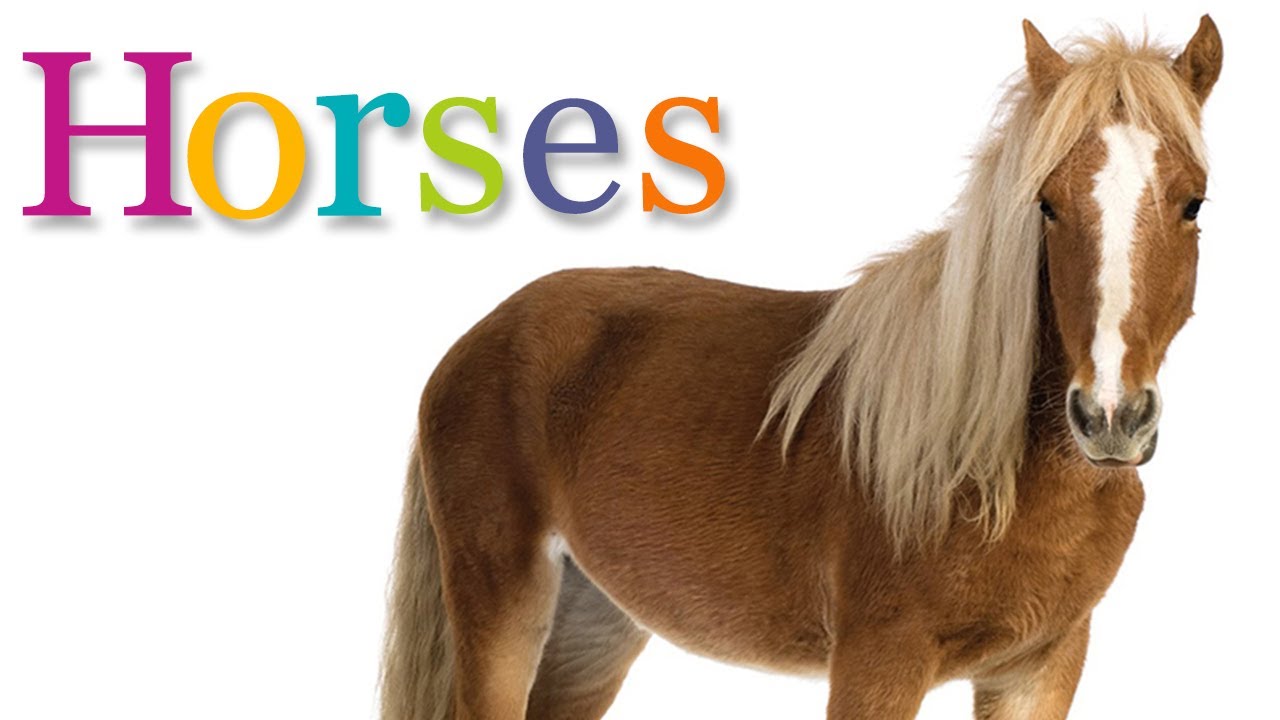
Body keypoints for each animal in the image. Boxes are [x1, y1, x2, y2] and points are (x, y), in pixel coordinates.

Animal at [380, 17, 1222, 720]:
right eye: (1047, 203)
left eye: (1193, 203)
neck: (981, 462)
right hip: (504, 598)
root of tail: (481, 336)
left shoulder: (1039, 667)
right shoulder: (879, 662)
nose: (1111, 416)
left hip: (594, 619)